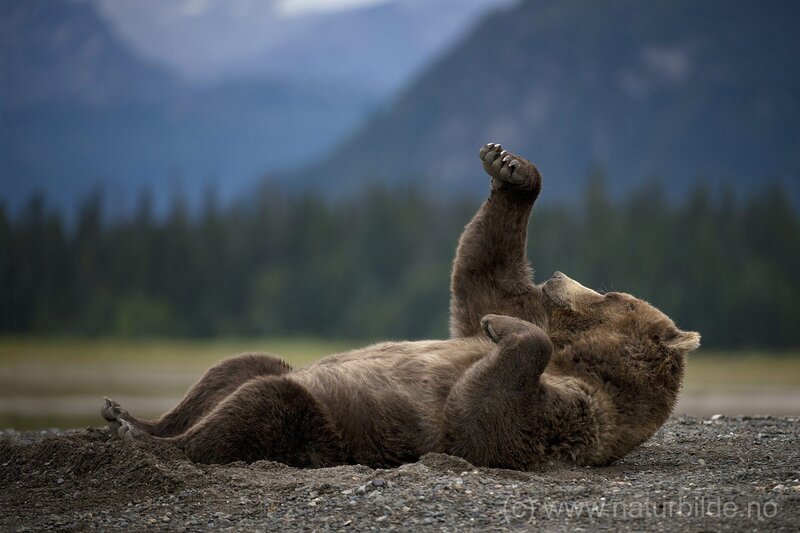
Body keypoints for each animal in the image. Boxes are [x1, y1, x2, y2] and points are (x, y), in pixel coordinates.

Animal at [101, 143, 700, 470]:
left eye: (616, 296)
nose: (556, 278)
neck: (585, 358)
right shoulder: (521, 317)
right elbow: (484, 277)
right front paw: (509, 167)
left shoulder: (576, 416)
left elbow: (482, 416)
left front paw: (501, 327)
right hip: (273, 375)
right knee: (239, 366)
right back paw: (132, 416)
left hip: (327, 428)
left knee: (267, 404)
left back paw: (154, 441)